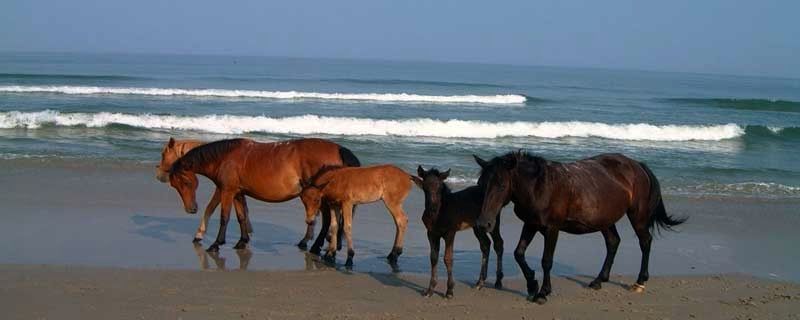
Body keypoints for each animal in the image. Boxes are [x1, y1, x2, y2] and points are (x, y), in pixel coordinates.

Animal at [170, 138, 360, 252]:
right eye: (174, 185)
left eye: (186, 182)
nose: (191, 209)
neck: (225, 158)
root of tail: (339, 149)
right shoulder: (238, 193)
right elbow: (241, 217)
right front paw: (242, 241)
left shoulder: (227, 191)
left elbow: (225, 217)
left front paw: (216, 244)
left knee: (327, 220)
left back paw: (314, 246)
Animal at [416, 166, 504, 298]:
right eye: (425, 187)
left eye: (440, 188)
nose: (432, 208)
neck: (440, 212)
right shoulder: (431, 233)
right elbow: (433, 258)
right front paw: (430, 290)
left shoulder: (450, 233)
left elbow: (448, 258)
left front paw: (449, 291)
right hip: (478, 227)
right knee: (486, 245)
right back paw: (480, 282)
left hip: (492, 224)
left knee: (498, 243)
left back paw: (498, 281)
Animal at [476, 151, 688, 304]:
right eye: (481, 184)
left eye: (501, 185)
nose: (484, 223)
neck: (540, 187)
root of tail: (638, 165)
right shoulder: (531, 224)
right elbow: (519, 254)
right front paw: (532, 285)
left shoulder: (552, 229)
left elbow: (546, 261)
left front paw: (543, 292)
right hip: (605, 220)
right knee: (613, 242)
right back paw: (598, 280)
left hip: (637, 216)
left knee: (645, 242)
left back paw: (639, 282)